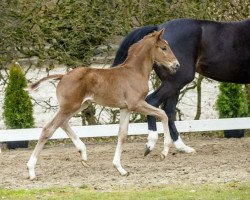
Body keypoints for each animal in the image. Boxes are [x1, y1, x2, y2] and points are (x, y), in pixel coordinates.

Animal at [27, 28, 180, 180]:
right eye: (163, 47)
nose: (176, 65)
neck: (134, 72)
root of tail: (63, 76)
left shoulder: (125, 108)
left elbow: (122, 134)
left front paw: (120, 169)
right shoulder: (136, 104)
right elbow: (163, 114)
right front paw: (163, 152)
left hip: (79, 105)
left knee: (63, 124)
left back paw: (83, 154)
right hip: (69, 107)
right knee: (48, 129)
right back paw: (31, 170)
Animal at [112, 18, 250, 155]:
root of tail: (158, 28)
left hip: (174, 84)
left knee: (168, 111)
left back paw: (183, 147)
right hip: (176, 81)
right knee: (153, 101)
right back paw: (150, 144)